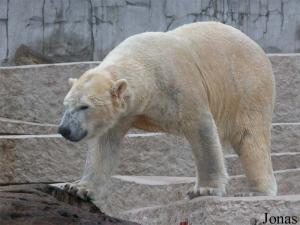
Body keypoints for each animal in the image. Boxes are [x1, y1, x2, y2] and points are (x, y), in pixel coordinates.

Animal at [58, 22, 276, 200]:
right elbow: (104, 145)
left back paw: (257, 191)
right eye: (66, 104)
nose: (64, 129)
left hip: (246, 87)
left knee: (249, 137)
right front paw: (79, 187)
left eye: (84, 106)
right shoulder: (123, 113)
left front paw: (204, 189)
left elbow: (202, 128)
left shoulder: (179, 85)